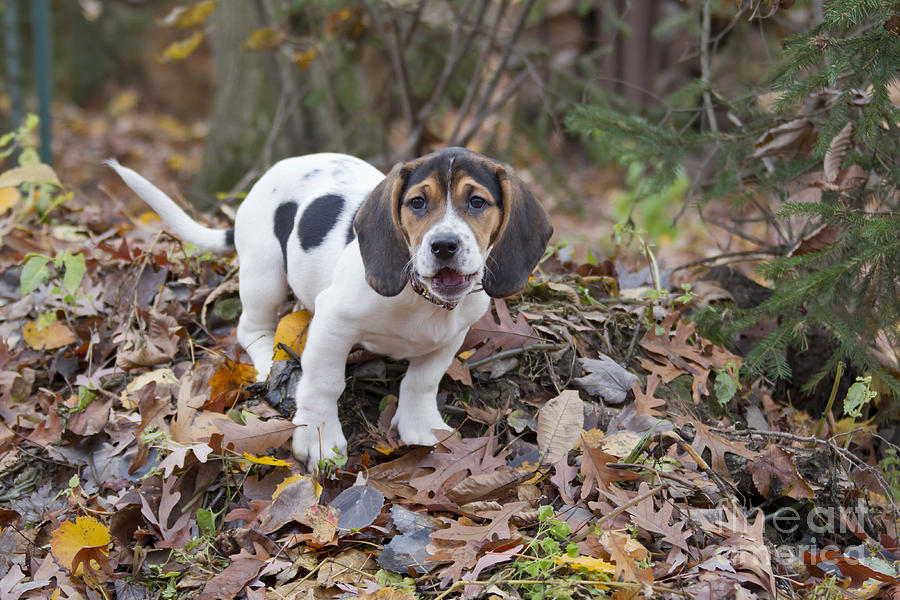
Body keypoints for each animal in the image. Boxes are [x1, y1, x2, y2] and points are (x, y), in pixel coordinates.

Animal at [109, 148, 552, 472]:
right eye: (417, 202)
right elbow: (324, 384)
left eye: (477, 201)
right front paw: (318, 438)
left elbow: (421, 381)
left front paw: (420, 425)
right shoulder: (334, 322)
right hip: (264, 272)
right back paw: (269, 363)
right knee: (251, 327)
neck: (419, 296)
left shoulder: (451, 336)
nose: (444, 245)